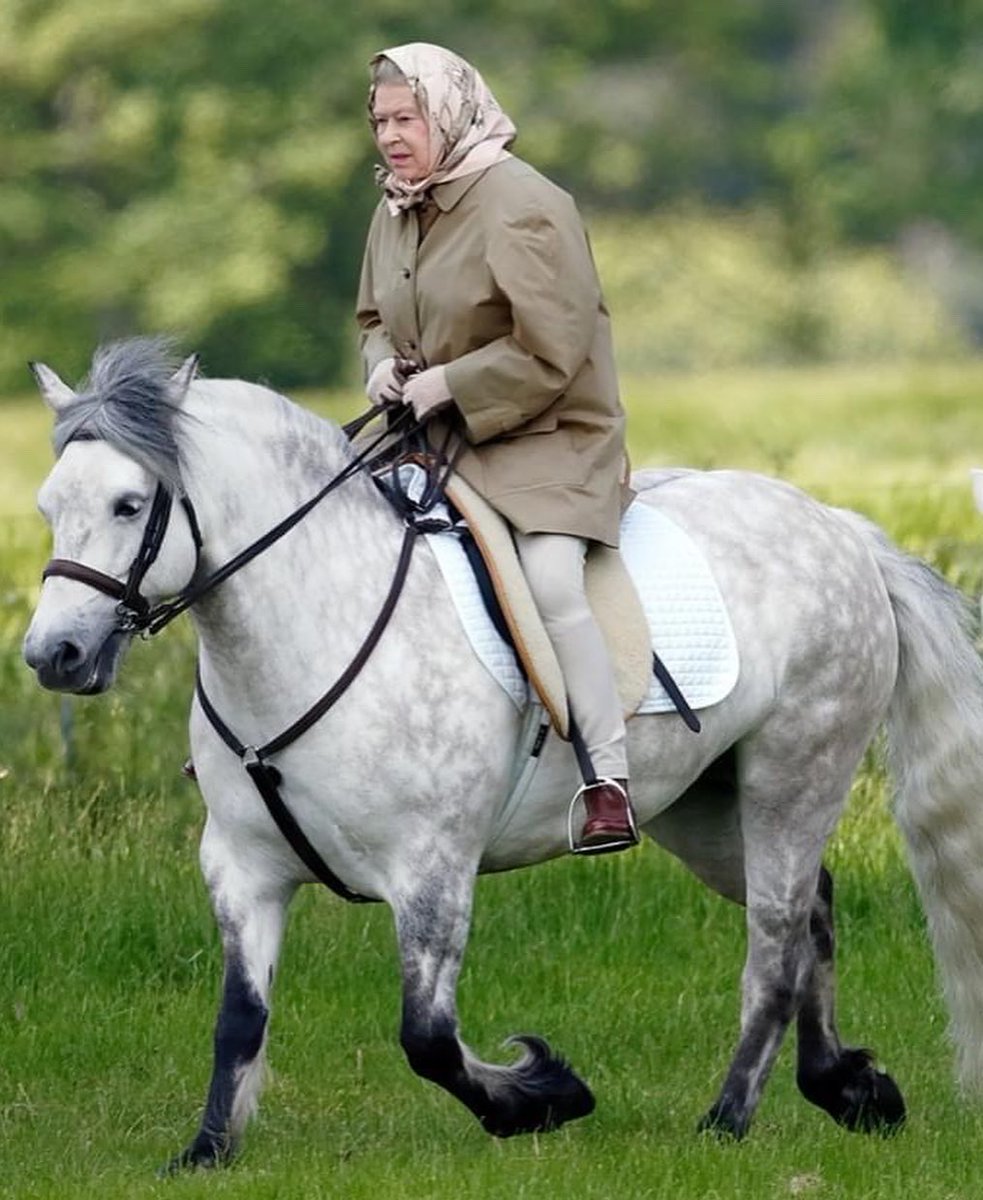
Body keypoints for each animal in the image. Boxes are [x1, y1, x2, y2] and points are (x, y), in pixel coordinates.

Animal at [21, 338, 983, 1169]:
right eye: (49, 507)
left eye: (129, 505)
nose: (52, 656)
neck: (313, 624)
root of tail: (840, 527)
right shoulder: (241, 867)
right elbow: (239, 1017)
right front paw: (207, 1151)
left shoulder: (431, 870)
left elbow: (427, 1038)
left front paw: (541, 1096)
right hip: (705, 809)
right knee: (811, 910)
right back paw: (848, 1089)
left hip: (795, 773)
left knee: (776, 945)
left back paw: (727, 1120)